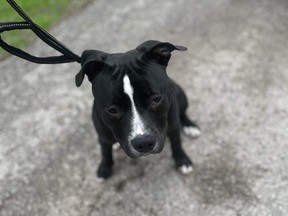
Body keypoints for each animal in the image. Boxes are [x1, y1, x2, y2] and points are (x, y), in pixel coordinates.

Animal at [75, 39, 201, 180]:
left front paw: (182, 160)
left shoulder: (173, 125)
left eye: (156, 99)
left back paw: (190, 126)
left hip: (180, 95)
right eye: (112, 109)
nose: (144, 143)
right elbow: (105, 151)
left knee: (182, 113)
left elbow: (177, 143)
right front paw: (105, 168)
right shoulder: (103, 136)